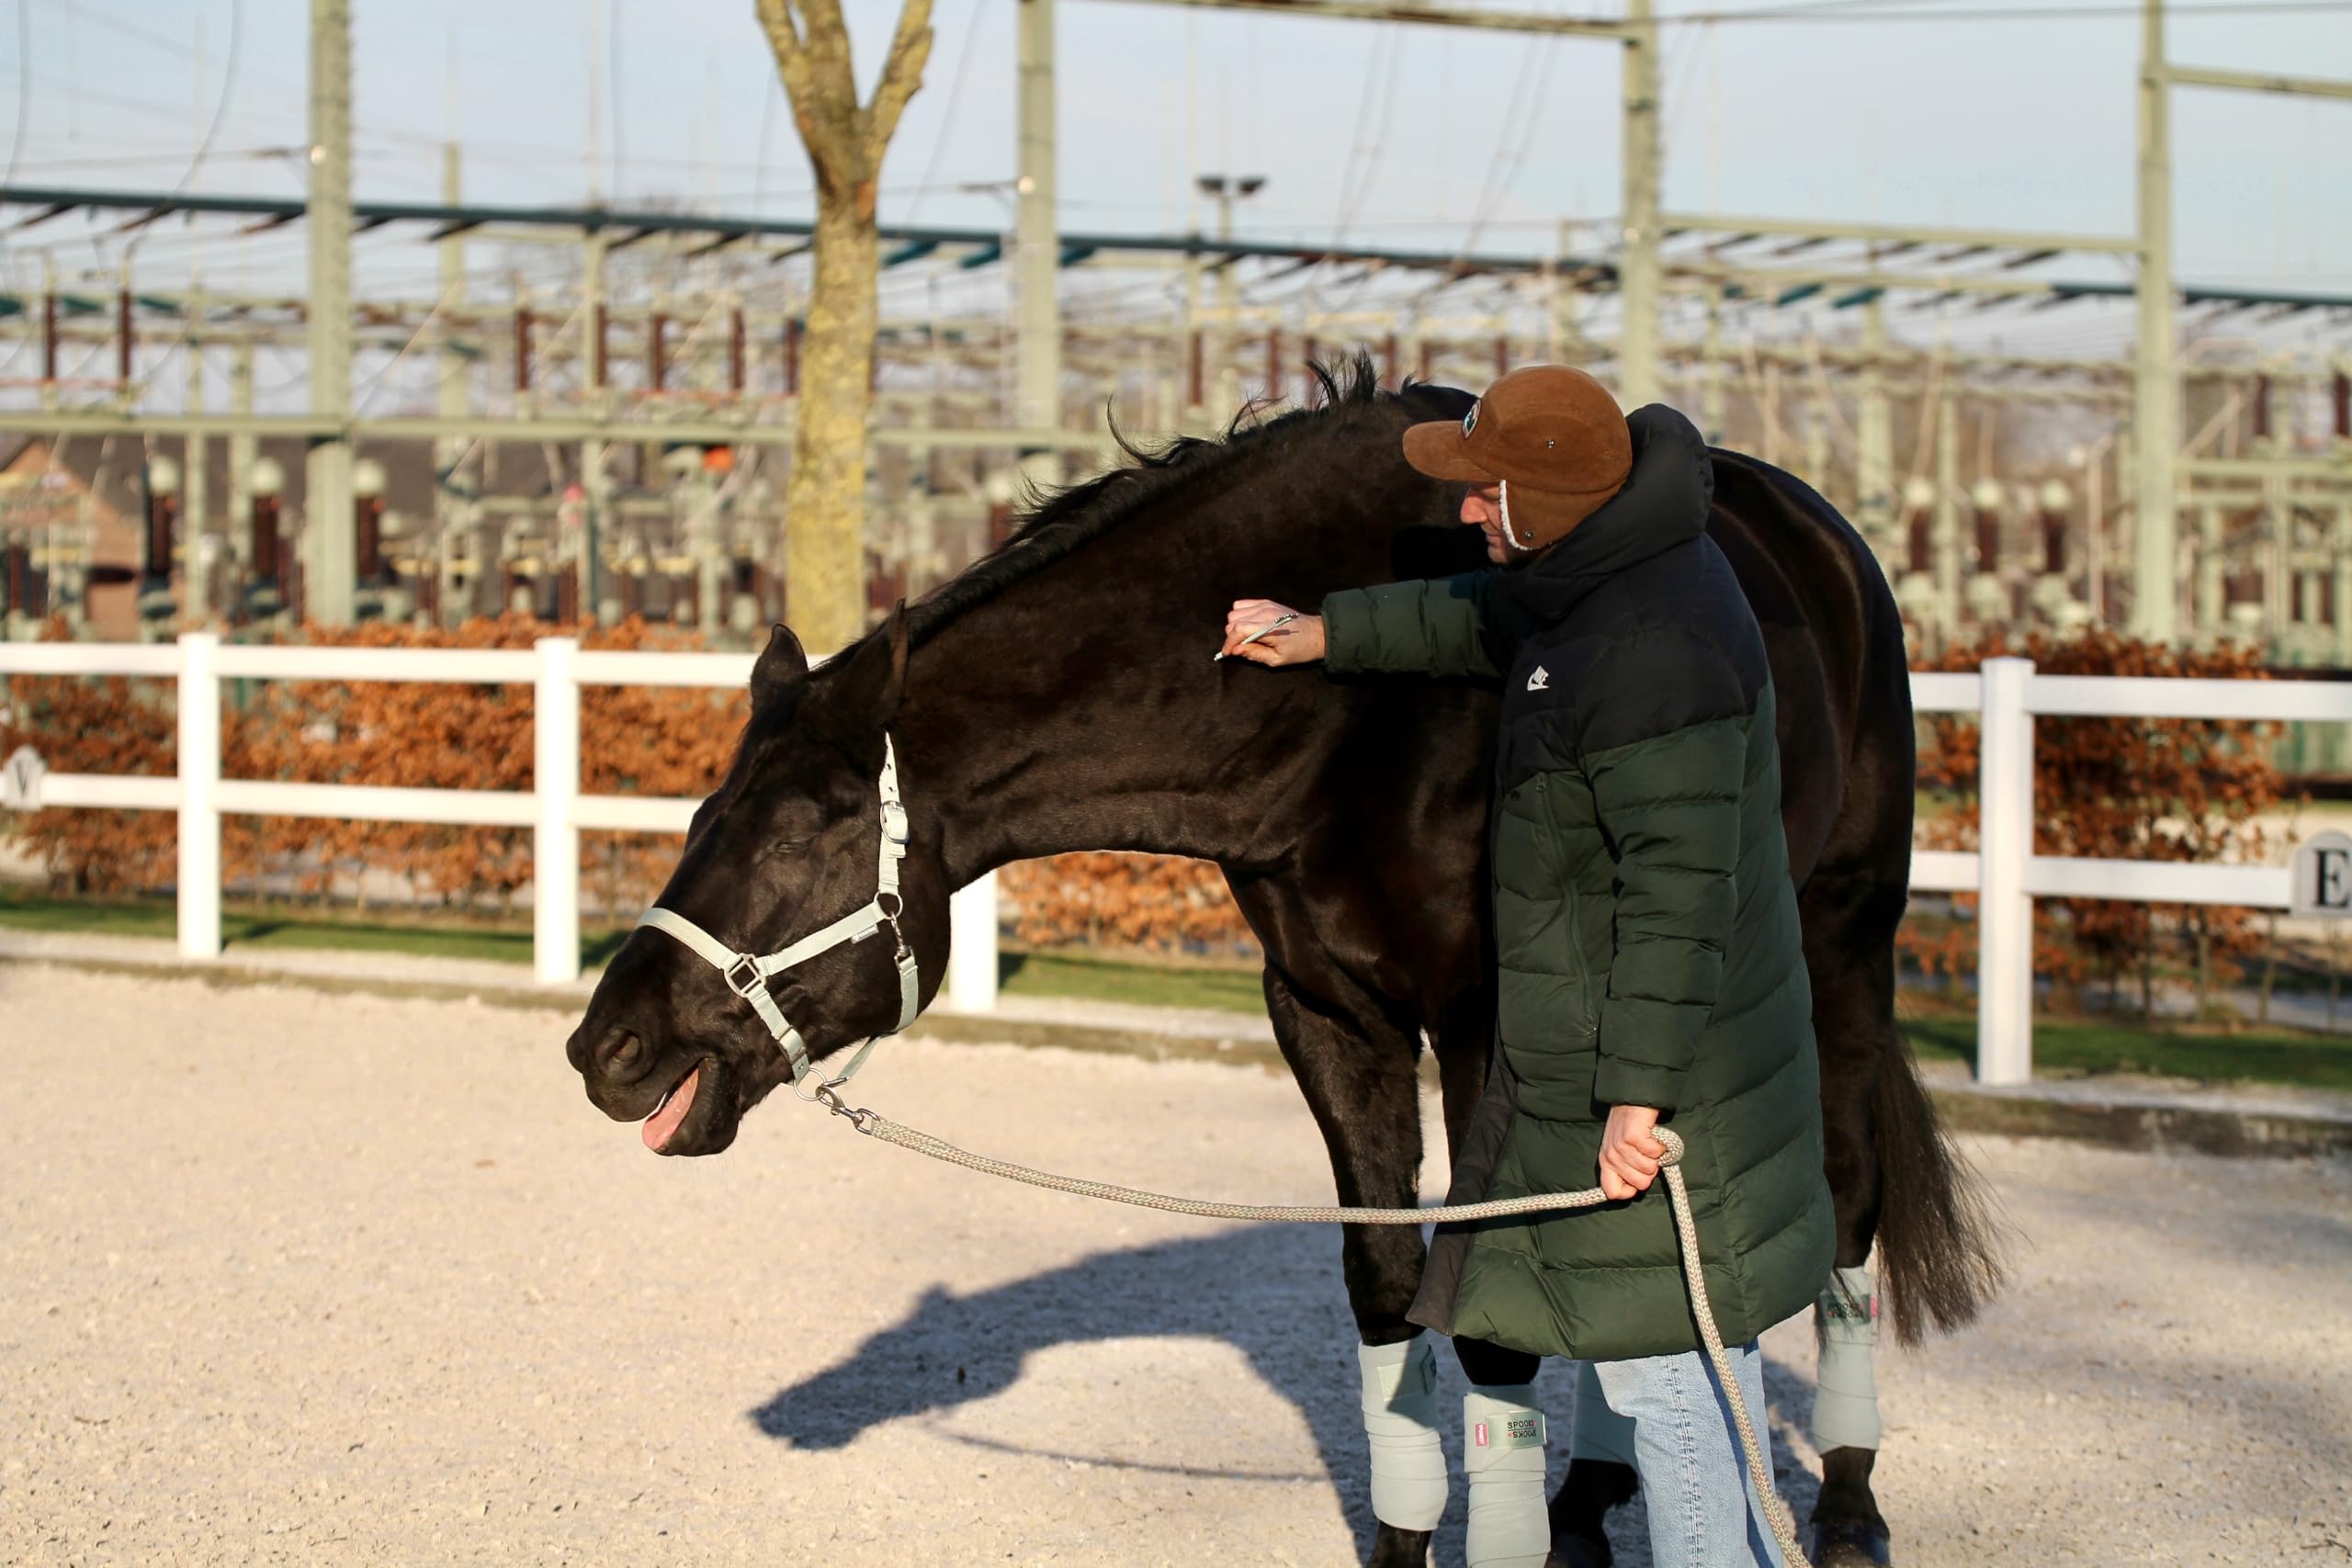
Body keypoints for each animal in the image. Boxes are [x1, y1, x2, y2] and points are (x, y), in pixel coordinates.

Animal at [566, 360, 2004, 1568]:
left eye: (804, 827)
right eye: (698, 813)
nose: (607, 1045)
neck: (1357, 726)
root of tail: (1825, 537)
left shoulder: (1493, 1027)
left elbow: (1488, 1322)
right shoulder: (1325, 1010)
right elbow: (1387, 1292)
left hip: (1842, 943)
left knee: (1847, 1195)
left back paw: (1849, 1505)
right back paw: (1596, 1497)